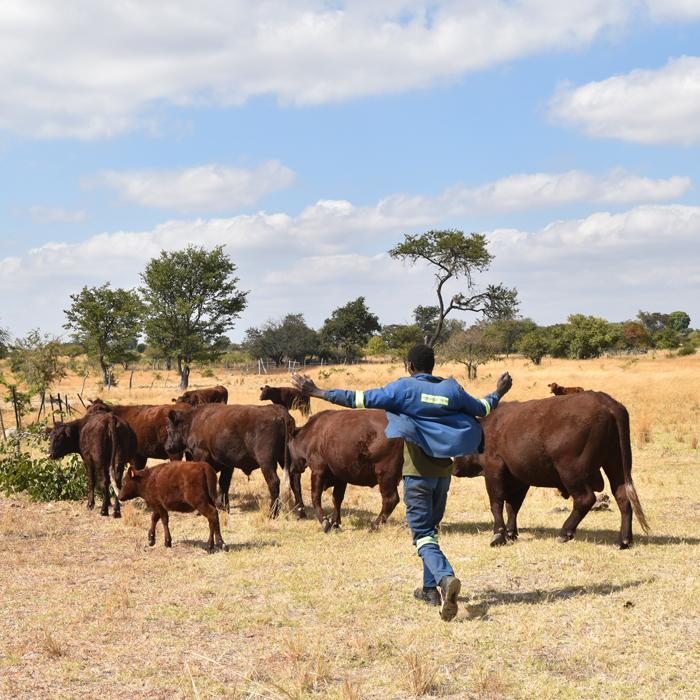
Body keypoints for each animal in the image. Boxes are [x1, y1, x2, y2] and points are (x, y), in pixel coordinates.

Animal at [167, 402, 306, 516]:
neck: (192, 421)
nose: (167, 447)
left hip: (267, 461)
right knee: (295, 481)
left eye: (169, 429)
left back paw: (272, 514)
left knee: (274, 482)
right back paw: (301, 512)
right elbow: (224, 484)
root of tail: (279, 412)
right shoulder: (227, 464)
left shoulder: (201, 456)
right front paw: (224, 508)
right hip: (285, 460)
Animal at [456, 394, 648, 548]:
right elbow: (513, 506)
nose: (454, 468)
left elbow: (497, 503)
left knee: (585, 499)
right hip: (616, 465)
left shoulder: (494, 470)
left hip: (571, 472)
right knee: (623, 497)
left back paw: (565, 532)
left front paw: (498, 535)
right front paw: (511, 533)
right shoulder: (520, 479)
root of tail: (607, 403)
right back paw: (624, 540)